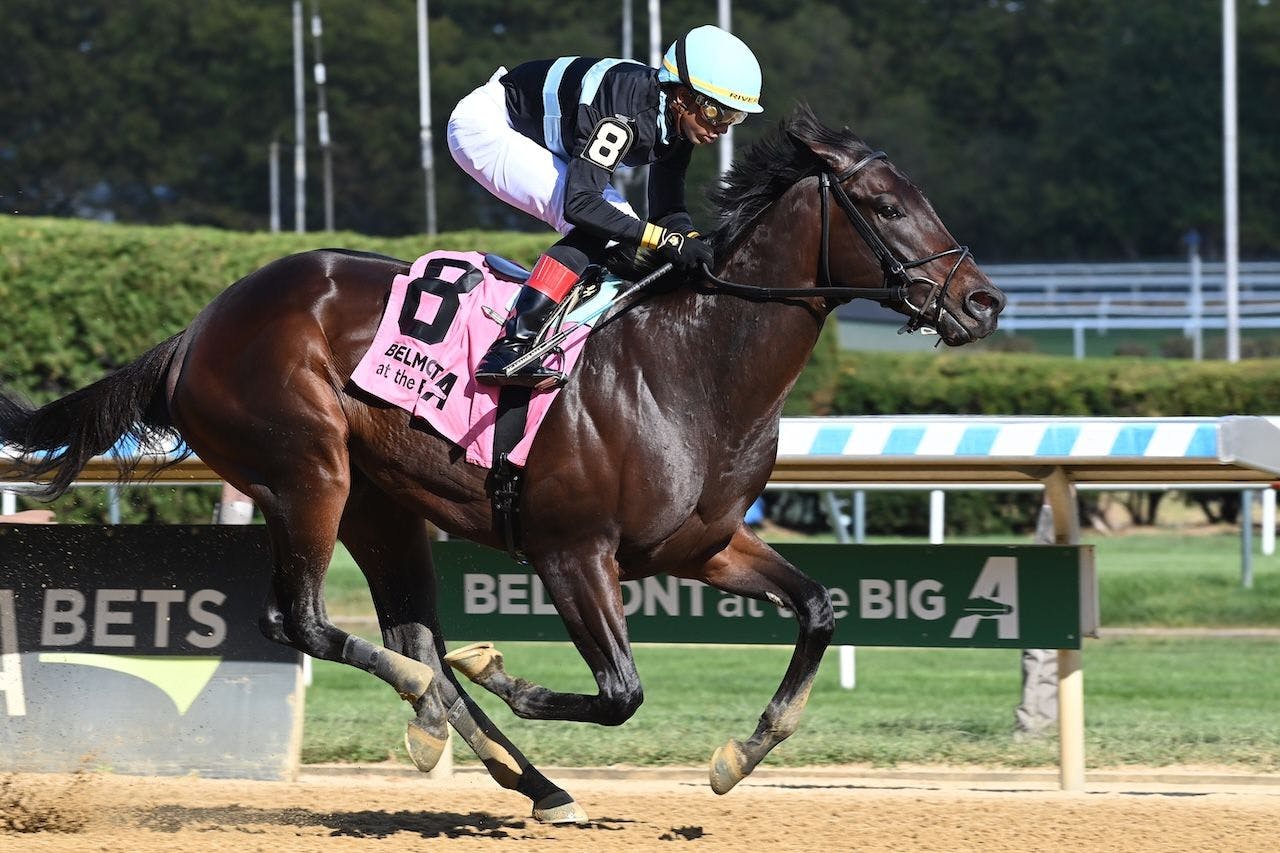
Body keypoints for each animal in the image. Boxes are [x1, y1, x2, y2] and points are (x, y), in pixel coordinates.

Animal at [0, 103, 1003, 819]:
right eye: (885, 206)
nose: (983, 301)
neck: (690, 364)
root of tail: (201, 324)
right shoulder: (572, 553)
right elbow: (621, 691)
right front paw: (505, 671)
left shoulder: (703, 547)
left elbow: (820, 608)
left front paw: (737, 755)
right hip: (308, 473)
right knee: (306, 621)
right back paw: (446, 712)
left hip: (383, 505)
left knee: (410, 636)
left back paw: (527, 777)